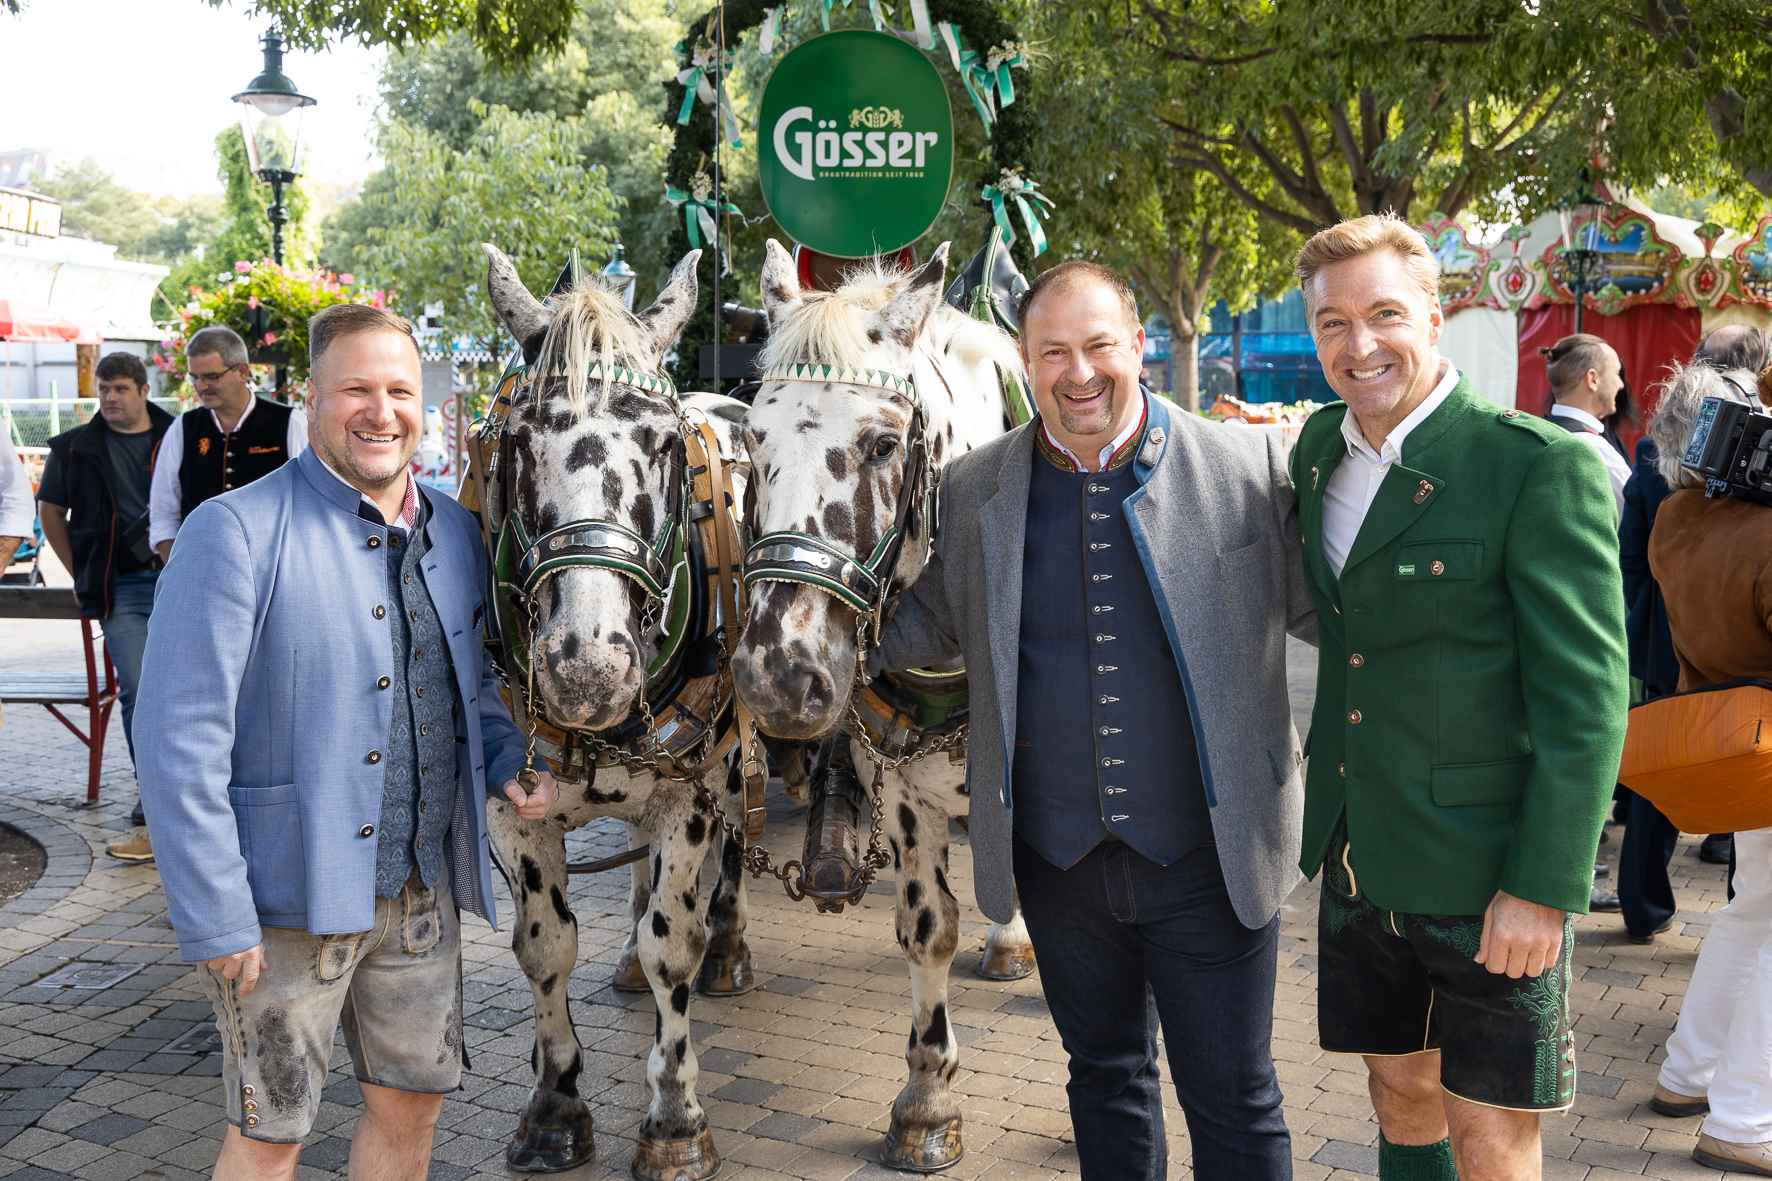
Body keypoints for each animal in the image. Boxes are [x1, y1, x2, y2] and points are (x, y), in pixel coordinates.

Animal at [467, 242, 765, 1170]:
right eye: (518, 439)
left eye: (662, 442)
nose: (588, 666)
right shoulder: (509, 805)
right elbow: (544, 945)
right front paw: (555, 1101)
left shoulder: (687, 792)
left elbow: (676, 945)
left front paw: (675, 1115)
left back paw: (729, 943)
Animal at [730, 239, 1034, 1170]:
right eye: (750, 438)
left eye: (882, 442)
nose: (778, 674)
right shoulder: (899, 789)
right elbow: (929, 927)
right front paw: (926, 1101)